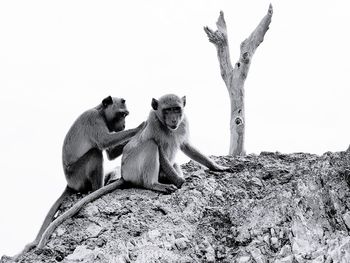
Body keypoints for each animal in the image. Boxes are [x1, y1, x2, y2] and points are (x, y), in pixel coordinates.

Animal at [20, 96, 145, 255]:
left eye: (125, 115)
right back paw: (98, 189)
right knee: (95, 153)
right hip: (77, 175)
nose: (124, 125)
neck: (100, 112)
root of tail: (69, 183)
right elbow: (104, 141)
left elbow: (110, 153)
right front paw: (140, 127)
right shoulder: (94, 119)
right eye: (122, 114)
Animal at [35, 94, 228, 250]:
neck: (99, 111)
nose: (174, 119)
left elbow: (186, 145)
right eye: (167, 110)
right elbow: (152, 145)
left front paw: (215, 166)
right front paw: (139, 128)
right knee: (142, 146)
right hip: (112, 170)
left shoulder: (183, 123)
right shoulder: (101, 120)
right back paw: (152, 184)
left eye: (176, 109)